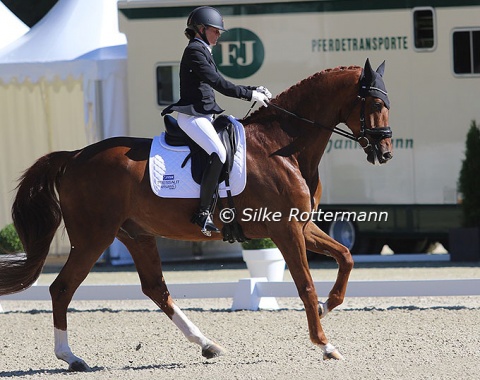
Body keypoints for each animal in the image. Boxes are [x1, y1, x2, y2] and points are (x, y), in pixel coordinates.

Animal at [0, 59, 392, 372]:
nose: (385, 152)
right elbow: (306, 284)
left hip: (135, 233)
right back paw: (71, 357)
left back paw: (207, 345)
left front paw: (327, 307)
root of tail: (74, 156)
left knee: (156, 289)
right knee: (62, 288)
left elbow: (346, 257)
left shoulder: (302, 226)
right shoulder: (286, 230)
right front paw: (325, 343)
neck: (282, 147)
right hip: (93, 237)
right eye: (375, 103)